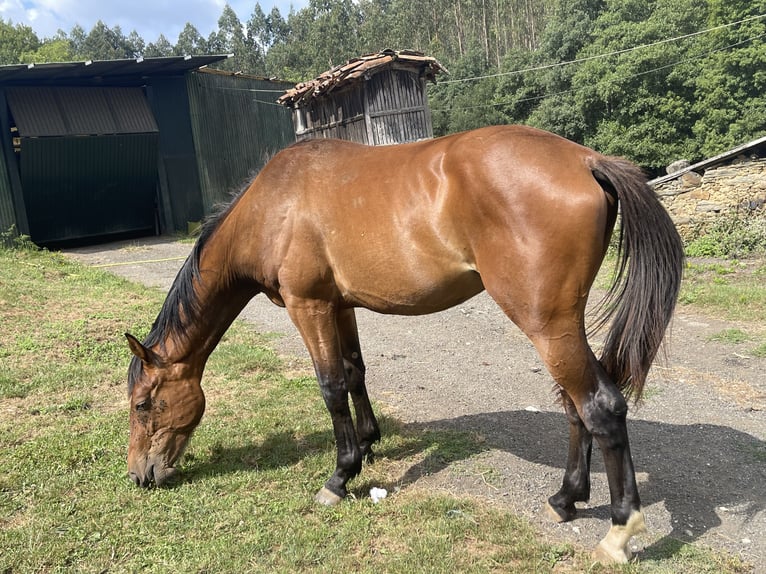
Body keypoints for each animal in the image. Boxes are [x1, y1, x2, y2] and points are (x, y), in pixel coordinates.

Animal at [126, 125, 684, 564]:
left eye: (143, 404)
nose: (139, 476)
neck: (275, 205)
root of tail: (586, 160)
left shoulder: (309, 306)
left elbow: (330, 386)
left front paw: (339, 477)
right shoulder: (339, 305)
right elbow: (354, 372)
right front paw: (368, 443)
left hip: (546, 325)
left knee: (601, 406)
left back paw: (619, 533)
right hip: (562, 324)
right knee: (575, 405)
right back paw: (566, 498)